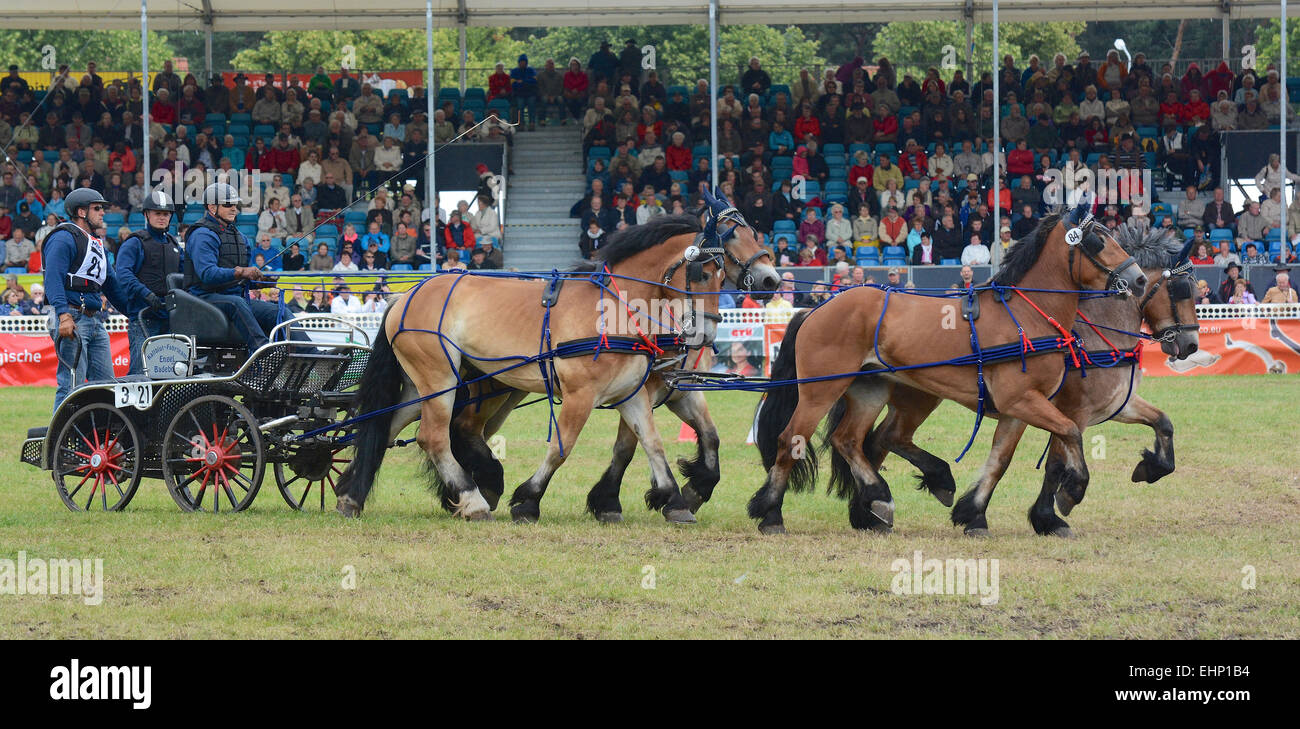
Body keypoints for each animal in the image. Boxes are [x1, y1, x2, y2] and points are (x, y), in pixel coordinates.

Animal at [338, 196, 780, 522]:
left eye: (722, 275)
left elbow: (652, 443)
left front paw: (673, 499)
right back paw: (473, 499)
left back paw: (351, 494)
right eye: (703, 272)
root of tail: (406, 295)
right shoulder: (583, 394)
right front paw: (529, 500)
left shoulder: (637, 393)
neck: (615, 309)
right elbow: (563, 447)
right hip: (442, 381)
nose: (771, 279)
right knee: (435, 437)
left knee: (384, 426)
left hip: (426, 386)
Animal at [754, 201, 1149, 532]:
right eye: (1099, 240)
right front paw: (1072, 491)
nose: (1140, 279)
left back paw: (881, 499)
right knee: (792, 440)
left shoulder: (1018, 408)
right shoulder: (1022, 400)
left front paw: (974, 514)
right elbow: (1070, 432)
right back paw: (771, 513)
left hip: (870, 390)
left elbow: (1002, 459)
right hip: (819, 391)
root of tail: (816, 308)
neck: (1026, 315)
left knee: (850, 440)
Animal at [826, 220, 1201, 535]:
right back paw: (883, 502)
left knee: (879, 441)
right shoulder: (1070, 412)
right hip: (919, 398)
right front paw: (1051, 515)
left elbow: (1163, 423)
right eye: (1181, 288)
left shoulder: (1112, 404)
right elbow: (1056, 464)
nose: (1190, 344)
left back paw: (871, 509)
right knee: (880, 440)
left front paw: (1153, 467)